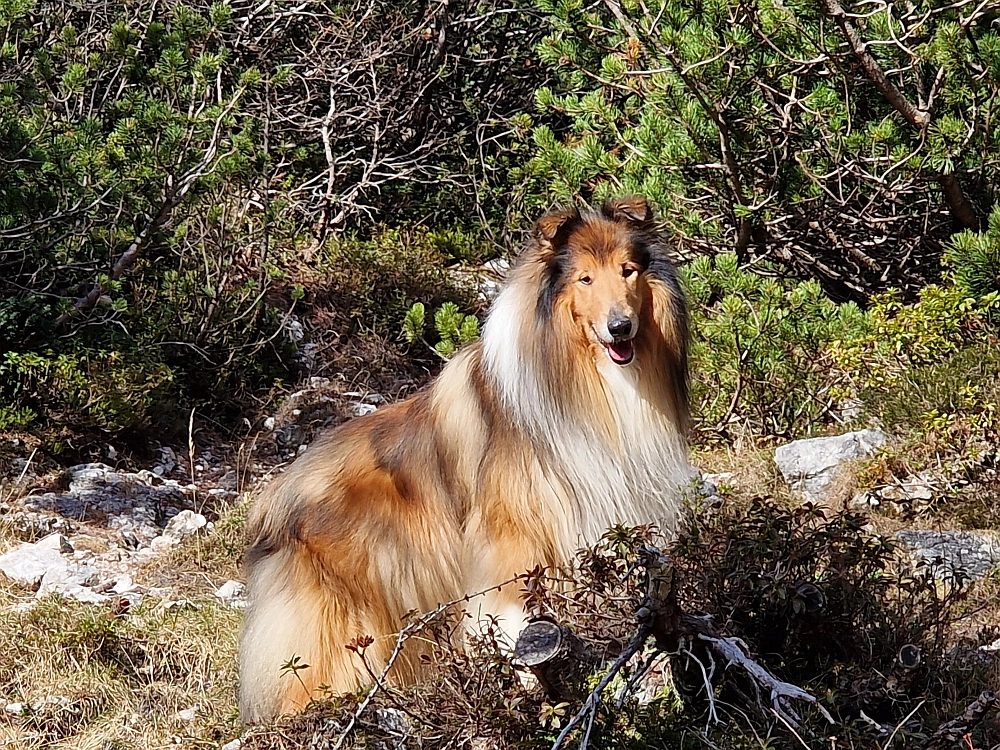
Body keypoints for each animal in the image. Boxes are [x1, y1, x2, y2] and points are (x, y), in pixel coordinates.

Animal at [242, 198, 696, 724]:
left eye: (628, 271)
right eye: (585, 279)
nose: (620, 327)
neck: (583, 376)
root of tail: (271, 500)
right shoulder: (510, 537)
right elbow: (509, 614)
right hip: (338, 622)